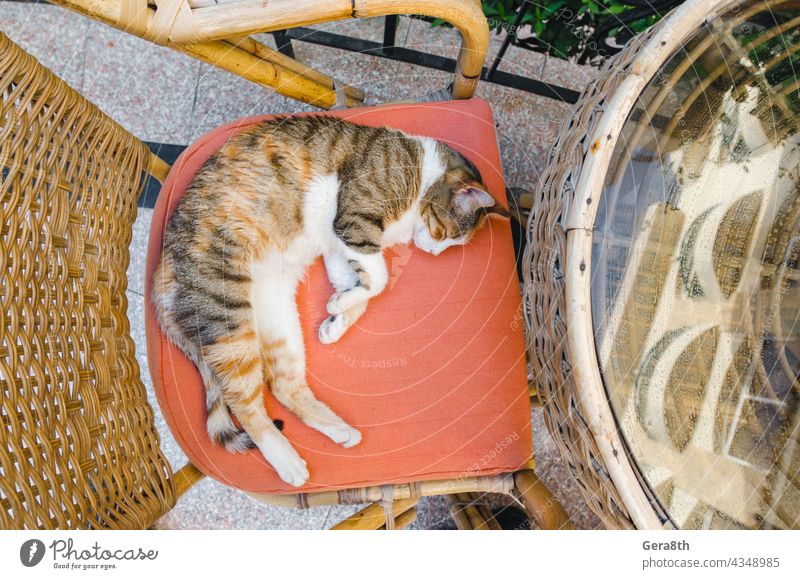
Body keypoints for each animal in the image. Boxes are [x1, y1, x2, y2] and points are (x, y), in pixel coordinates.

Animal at [153, 115, 510, 488]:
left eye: (450, 244)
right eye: (445, 234)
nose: (433, 252)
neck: (421, 169)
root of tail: (160, 273)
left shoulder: (340, 247)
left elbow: (361, 286)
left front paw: (336, 318)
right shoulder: (354, 221)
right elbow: (379, 279)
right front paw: (340, 306)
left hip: (277, 315)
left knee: (282, 384)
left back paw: (339, 430)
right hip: (228, 317)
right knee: (244, 403)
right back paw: (287, 461)